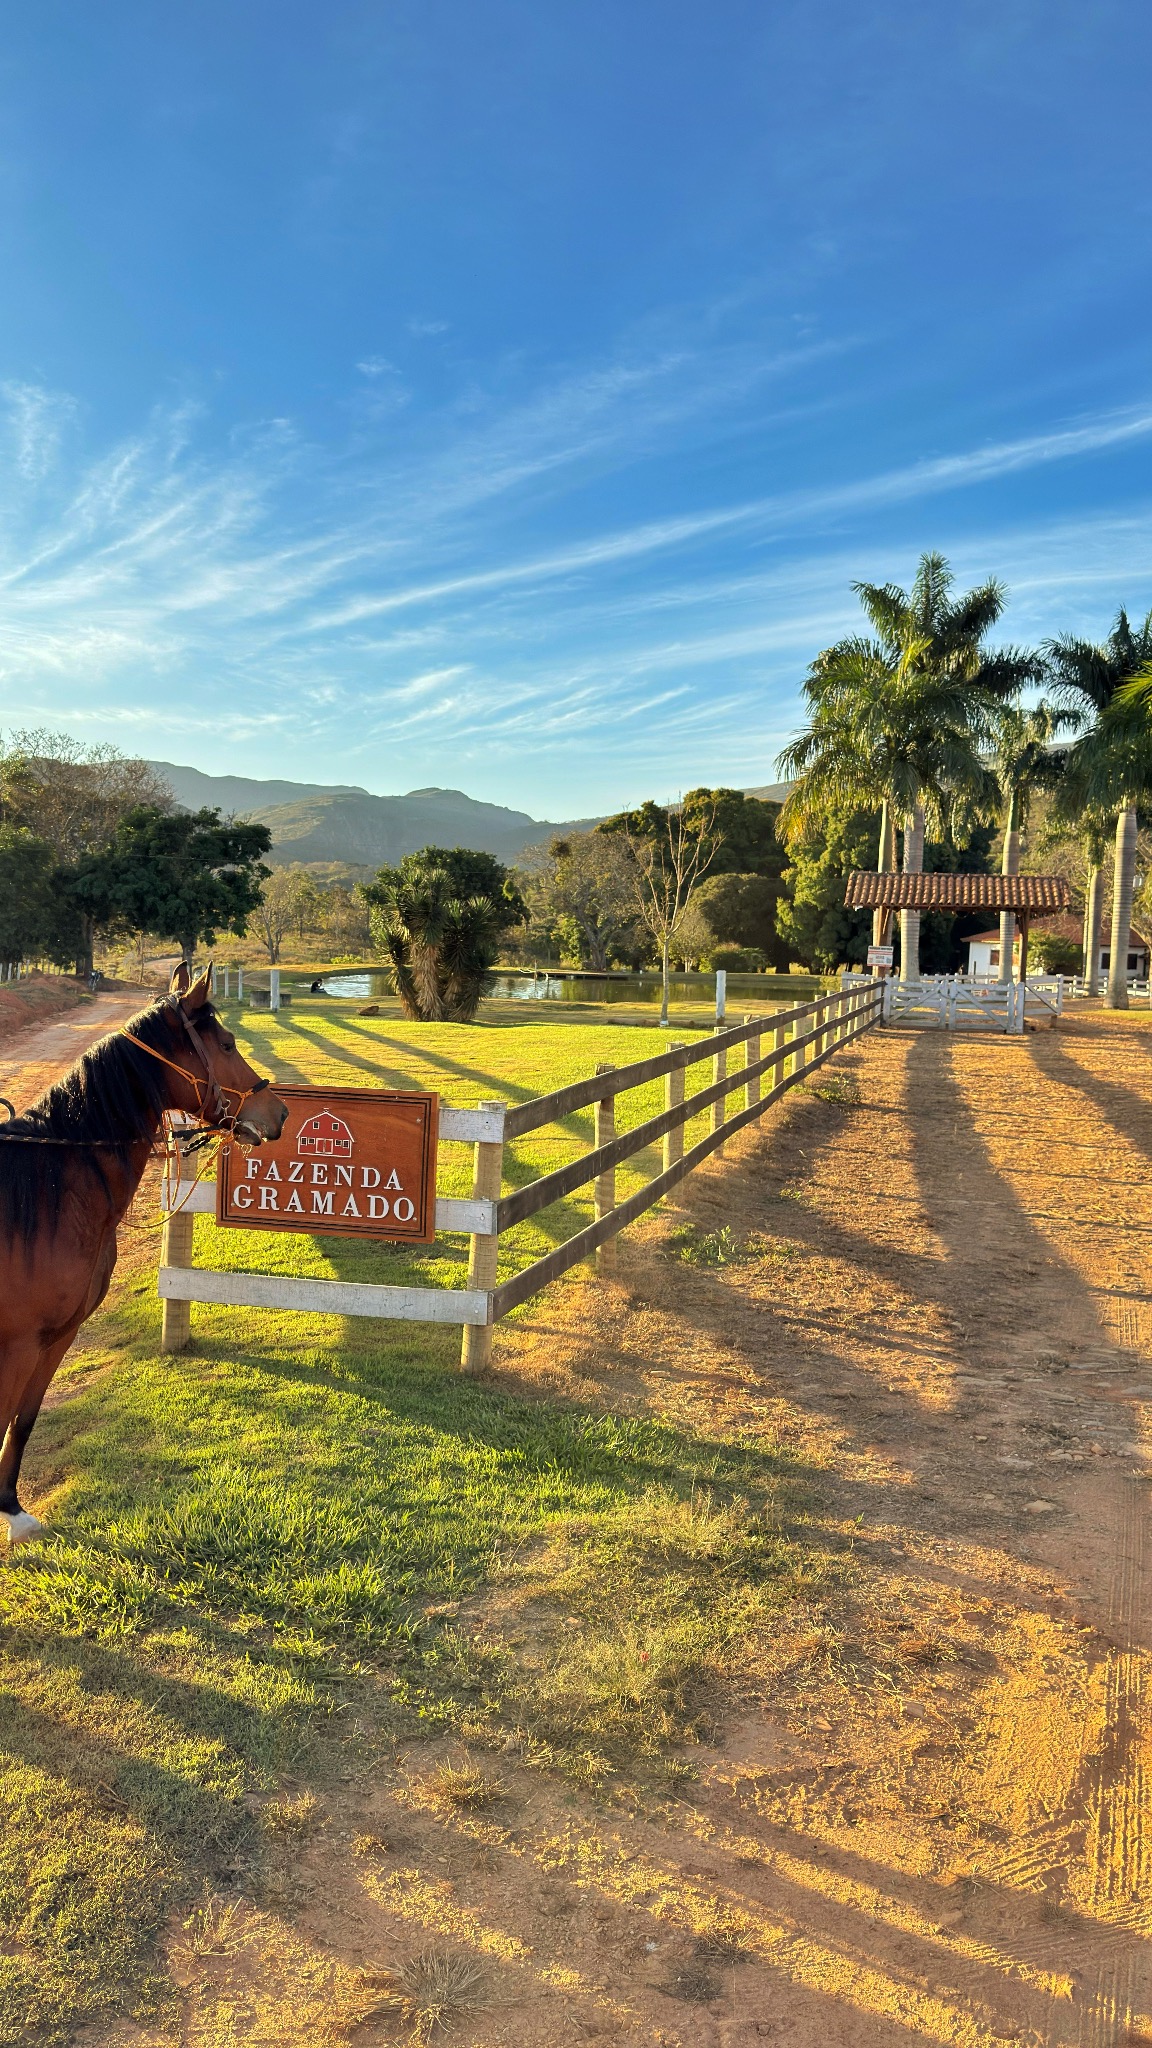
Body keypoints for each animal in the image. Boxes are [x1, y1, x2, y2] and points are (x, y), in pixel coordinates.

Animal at [0, 962, 287, 1546]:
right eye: (226, 1043)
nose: (281, 1113)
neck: (49, 1188)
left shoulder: (54, 1340)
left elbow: (22, 1421)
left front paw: (13, 1511)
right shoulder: (16, 1344)